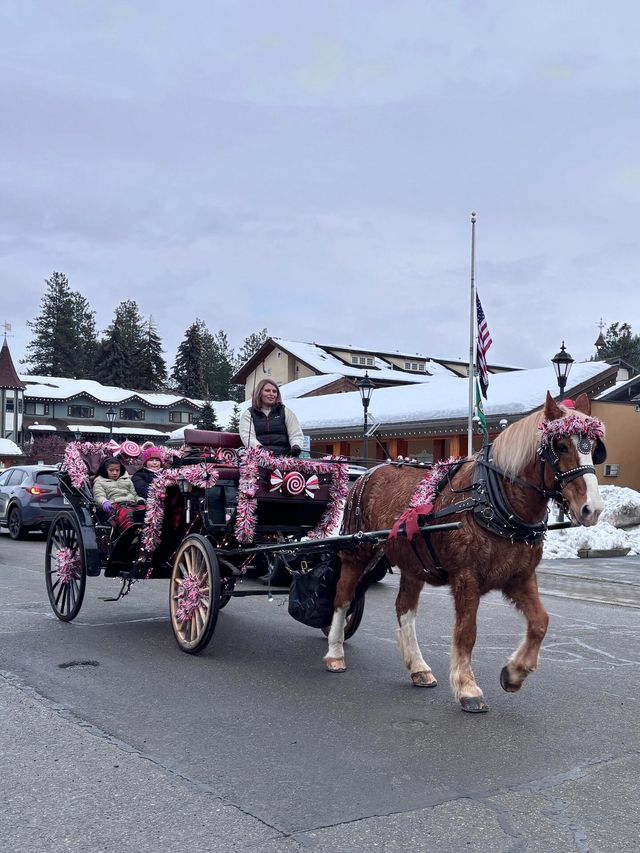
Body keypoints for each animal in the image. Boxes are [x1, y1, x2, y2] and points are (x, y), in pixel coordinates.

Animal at [324, 392, 604, 712]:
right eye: (560, 445)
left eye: (595, 448)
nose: (592, 509)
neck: (494, 500)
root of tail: (368, 472)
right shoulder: (466, 578)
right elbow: (467, 632)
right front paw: (468, 688)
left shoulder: (519, 577)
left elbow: (540, 623)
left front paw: (514, 673)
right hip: (358, 550)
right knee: (343, 596)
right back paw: (335, 653)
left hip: (412, 563)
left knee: (404, 609)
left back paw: (418, 667)